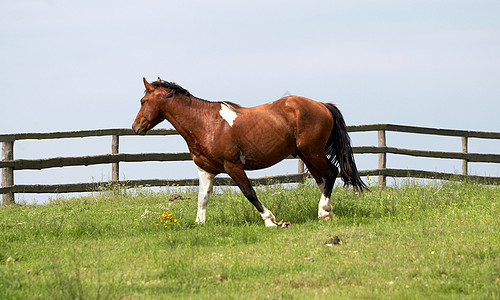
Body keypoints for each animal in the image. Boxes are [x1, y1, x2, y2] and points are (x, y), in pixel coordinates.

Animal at [133, 77, 368, 227]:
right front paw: (199, 223)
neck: (206, 123)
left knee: (331, 173)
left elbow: (249, 193)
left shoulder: (233, 166)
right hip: (308, 155)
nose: (136, 127)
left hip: (312, 152)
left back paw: (323, 210)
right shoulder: (206, 170)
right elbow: (203, 197)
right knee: (323, 179)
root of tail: (322, 105)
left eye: (143, 101)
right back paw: (326, 212)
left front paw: (270, 220)